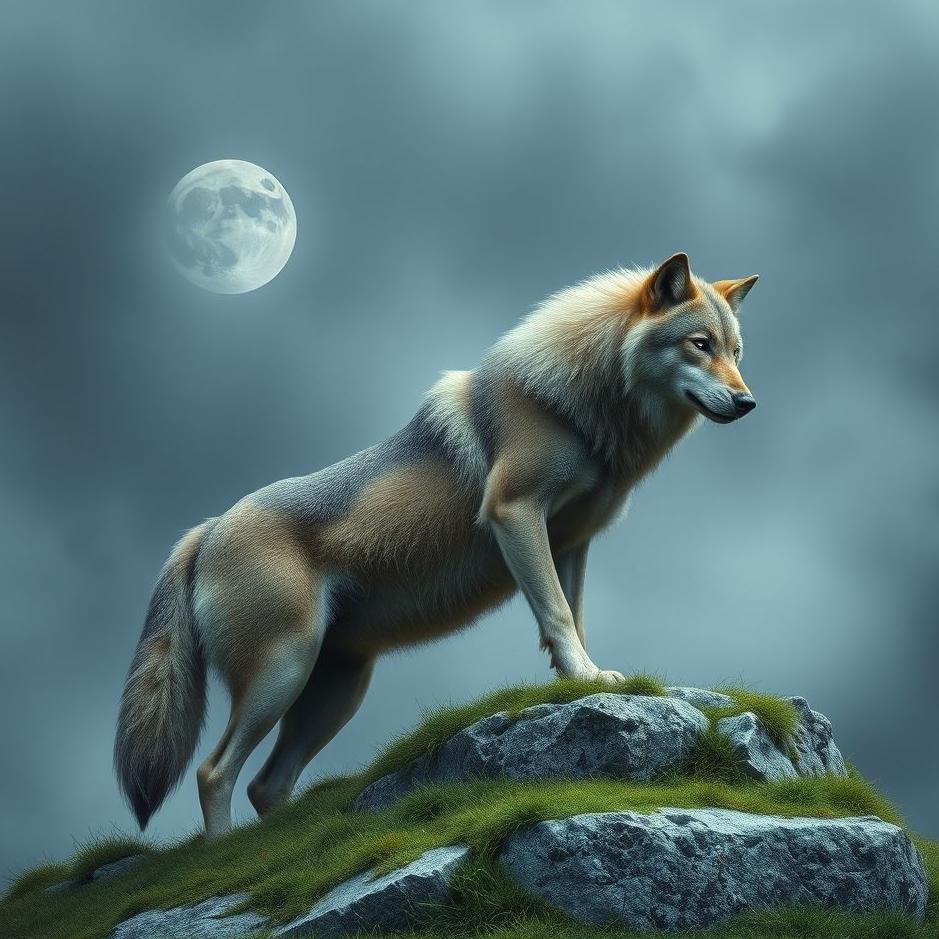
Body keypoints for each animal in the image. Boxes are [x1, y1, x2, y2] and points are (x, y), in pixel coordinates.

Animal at [114, 252, 758, 837]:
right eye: (700, 344)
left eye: (736, 351)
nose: (748, 403)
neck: (579, 403)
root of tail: (206, 529)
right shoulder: (514, 513)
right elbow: (555, 614)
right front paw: (587, 679)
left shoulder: (573, 543)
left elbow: (572, 618)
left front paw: (585, 680)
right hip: (283, 672)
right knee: (213, 772)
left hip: (335, 691)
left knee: (264, 785)